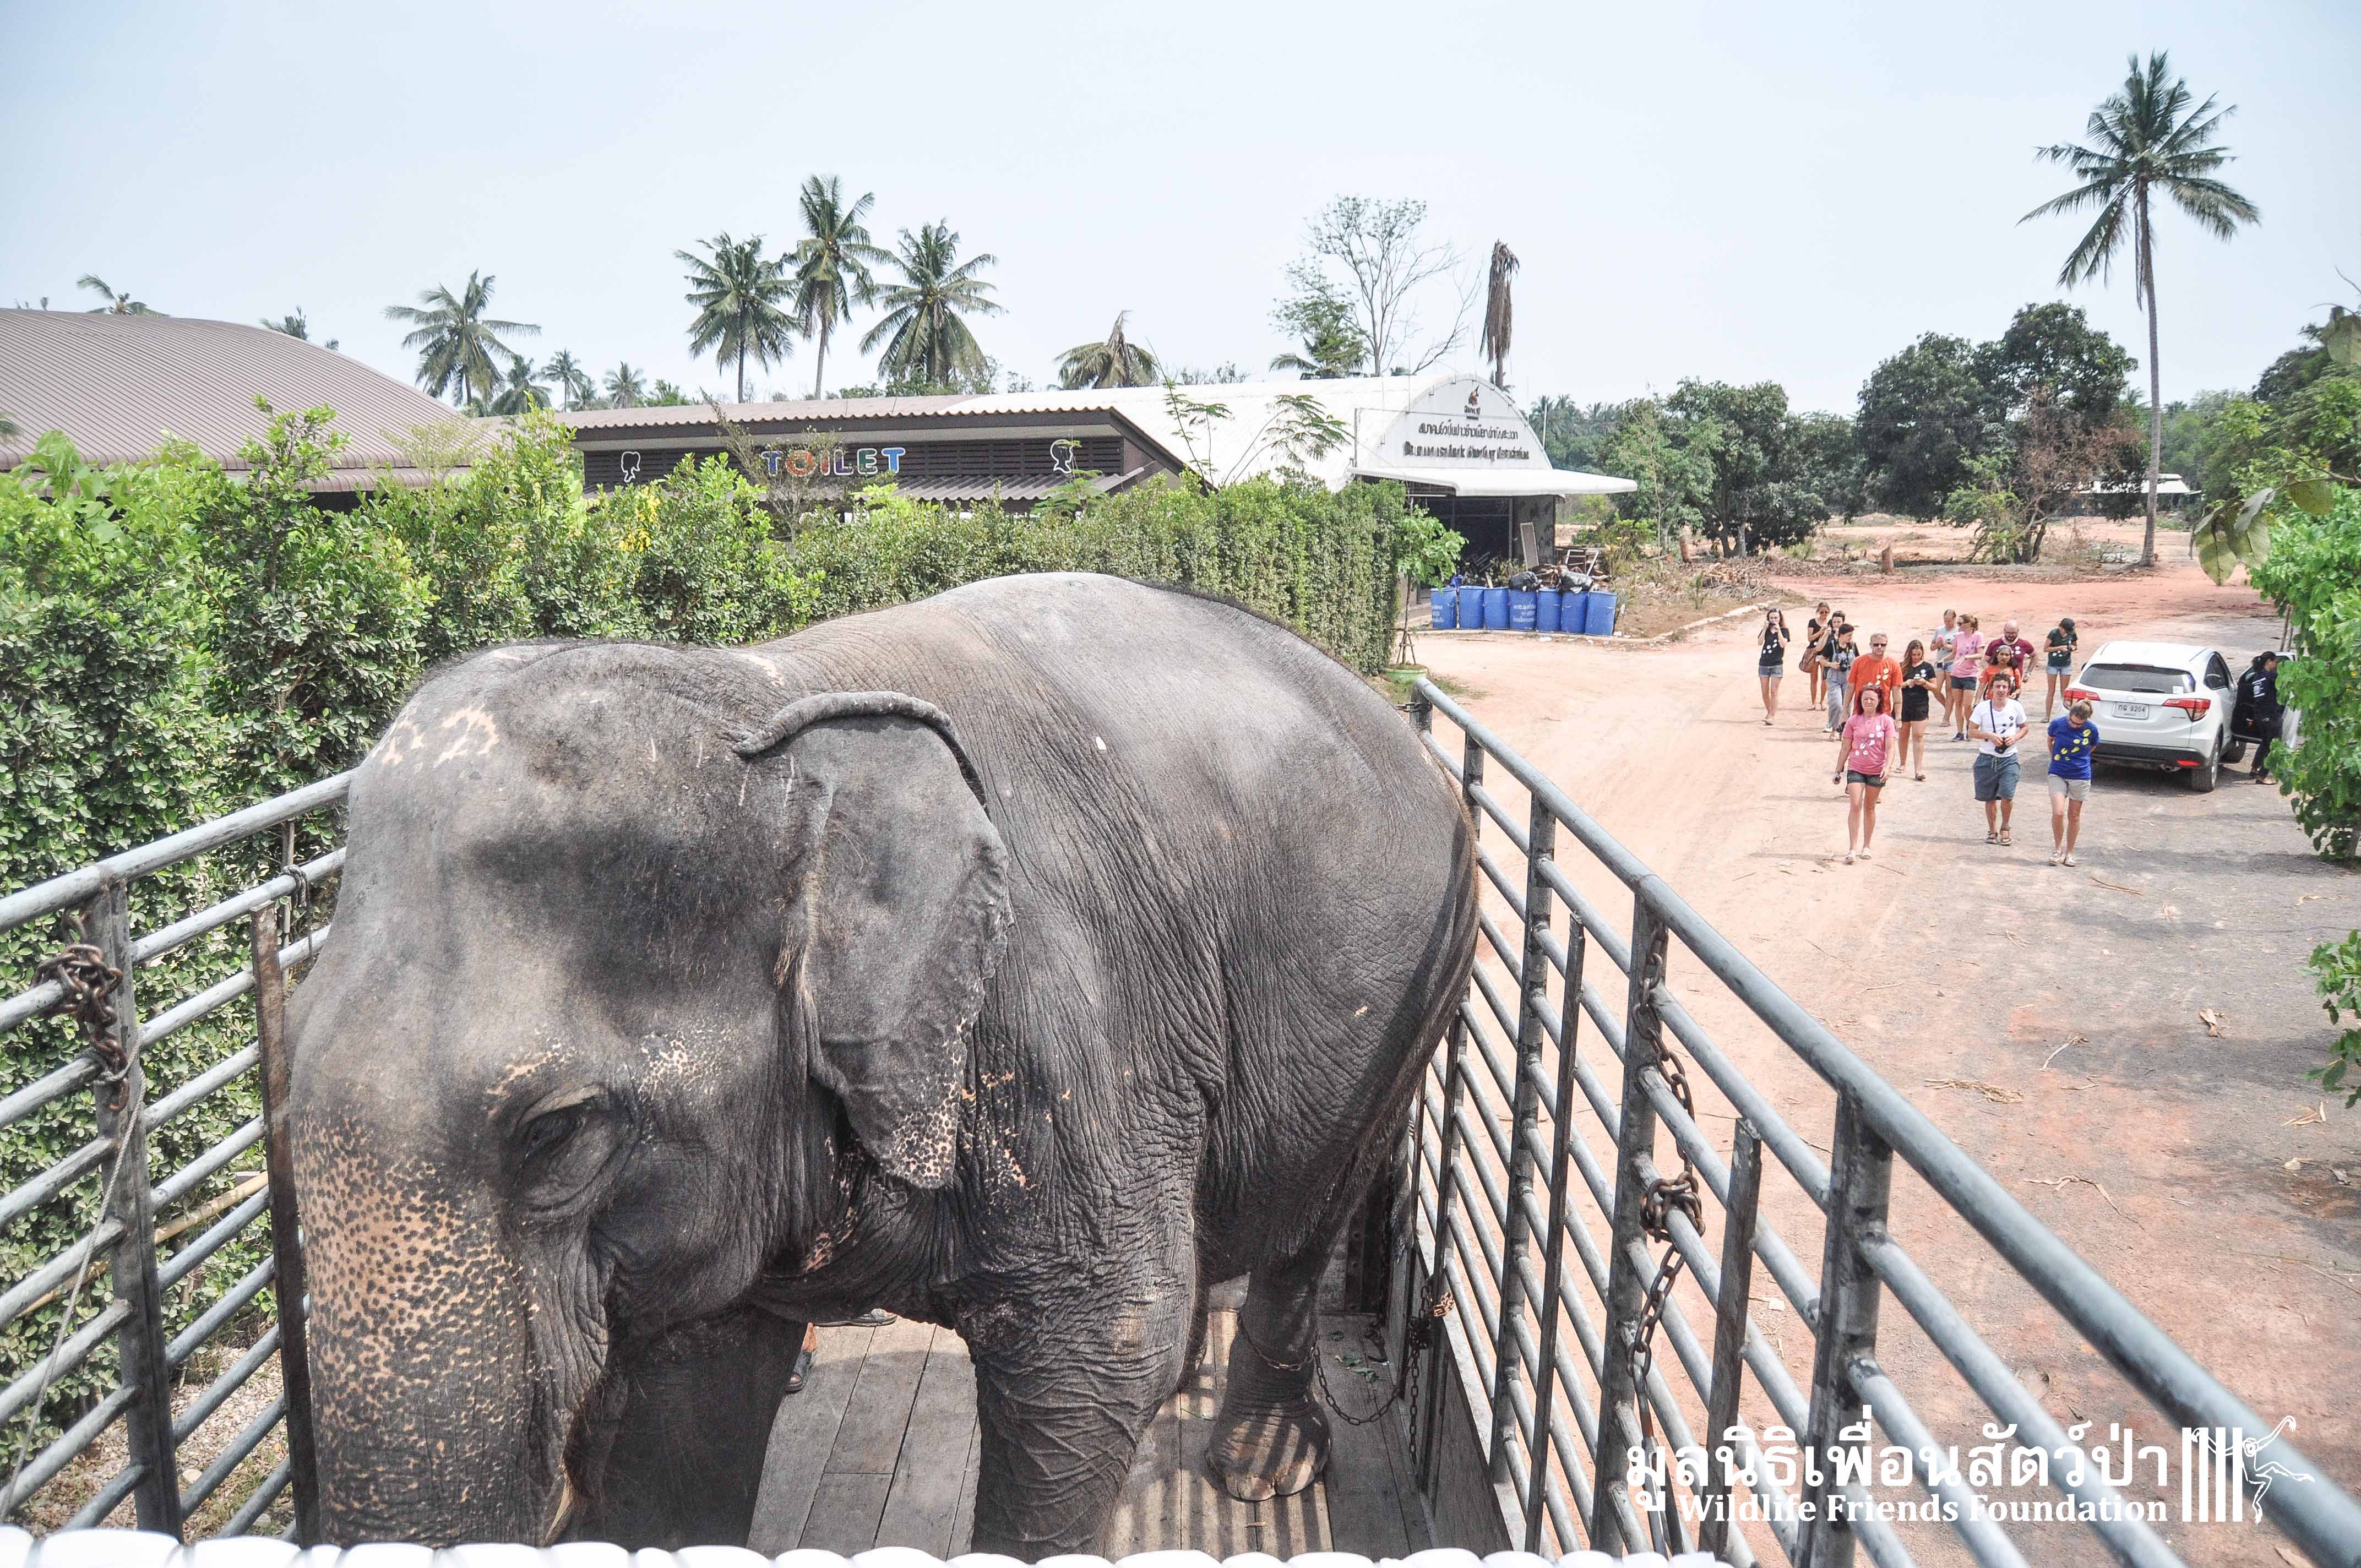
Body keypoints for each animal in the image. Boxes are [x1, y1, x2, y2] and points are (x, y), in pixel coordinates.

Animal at [285, 571, 1478, 1555]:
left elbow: (1094, 1358)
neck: (767, 697)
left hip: (1422, 978)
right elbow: (693, 1391)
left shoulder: (1066, 1027)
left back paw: (1260, 1465)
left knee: (1309, 1218)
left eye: (554, 1134)